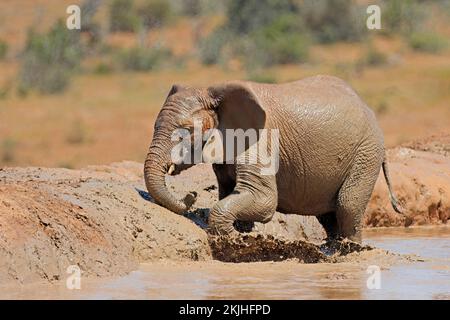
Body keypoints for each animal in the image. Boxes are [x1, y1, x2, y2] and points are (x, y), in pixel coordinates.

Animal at [143, 75, 400, 241]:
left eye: (187, 131)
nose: (191, 196)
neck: (214, 93)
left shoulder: (260, 141)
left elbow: (263, 199)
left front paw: (234, 238)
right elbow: (232, 193)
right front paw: (240, 234)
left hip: (367, 152)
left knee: (347, 206)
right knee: (329, 217)